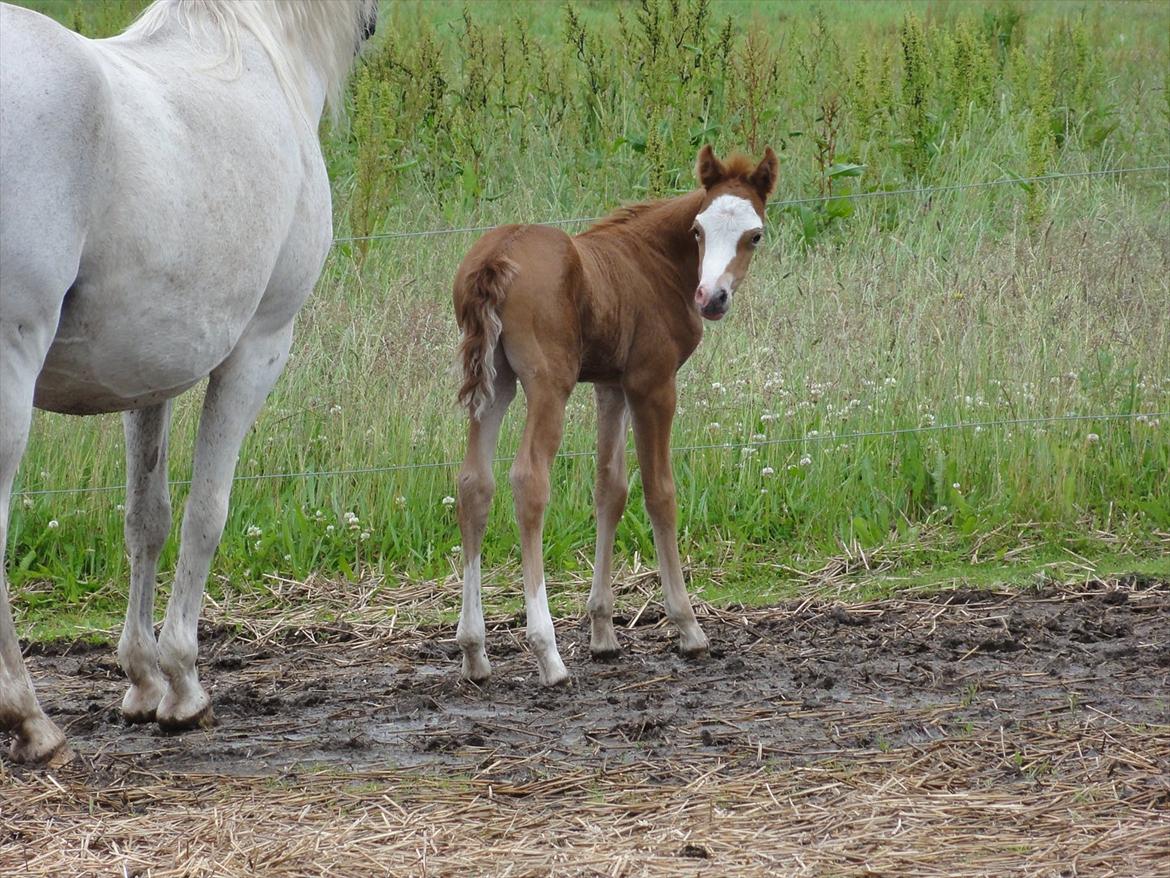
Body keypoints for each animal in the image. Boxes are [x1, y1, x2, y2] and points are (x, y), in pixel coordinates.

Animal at [0, 0, 377, 765]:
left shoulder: (144, 381)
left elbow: (147, 520)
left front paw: (143, 681)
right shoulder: (259, 349)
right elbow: (208, 513)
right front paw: (183, 685)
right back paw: (31, 721)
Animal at [452, 145, 778, 686]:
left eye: (754, 234)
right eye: (698, 230)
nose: (711, 298)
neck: (654, 263)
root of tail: (498, 254)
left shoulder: (610, 385)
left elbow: (610, 488)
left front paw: (603, 633)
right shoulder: (652, 383)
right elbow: (659, 492)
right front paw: (688, 627)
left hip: (496, 382)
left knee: (475, 482)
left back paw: (475, 652)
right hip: (549, 382)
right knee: (528, 479)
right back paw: (548, 653)